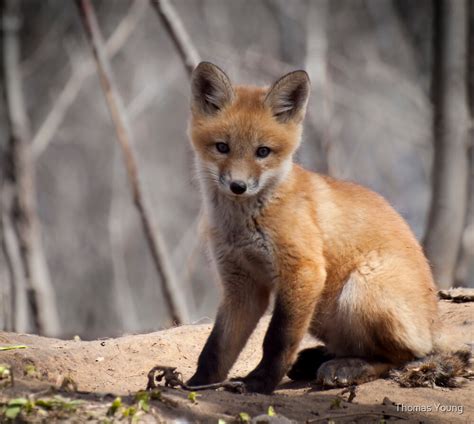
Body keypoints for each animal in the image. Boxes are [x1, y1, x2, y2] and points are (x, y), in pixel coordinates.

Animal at [188, 60, 460, 394]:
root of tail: (435, 323)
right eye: (222, 147)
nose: (238, 186)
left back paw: (350, 367)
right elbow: (216, 347)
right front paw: (195, 384)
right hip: (323, 312)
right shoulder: (241, 284)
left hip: (359, 290)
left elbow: (277, 339)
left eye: (263, 152)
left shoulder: (303, 270)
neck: (244, 224)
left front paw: (260, 382)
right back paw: (319, 359)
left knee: (404, 356)